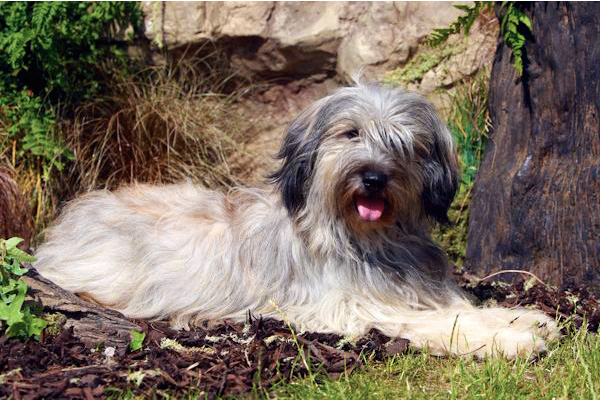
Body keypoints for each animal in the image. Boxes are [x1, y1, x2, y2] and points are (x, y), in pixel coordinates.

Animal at [32, 83, 556, 358]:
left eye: (403, 144)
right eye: (351, 133)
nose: (372, 178)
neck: (369, 238)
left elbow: (460, 308)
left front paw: (520, 318)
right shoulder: (351, 308)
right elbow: (437, 322)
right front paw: (512, 337)